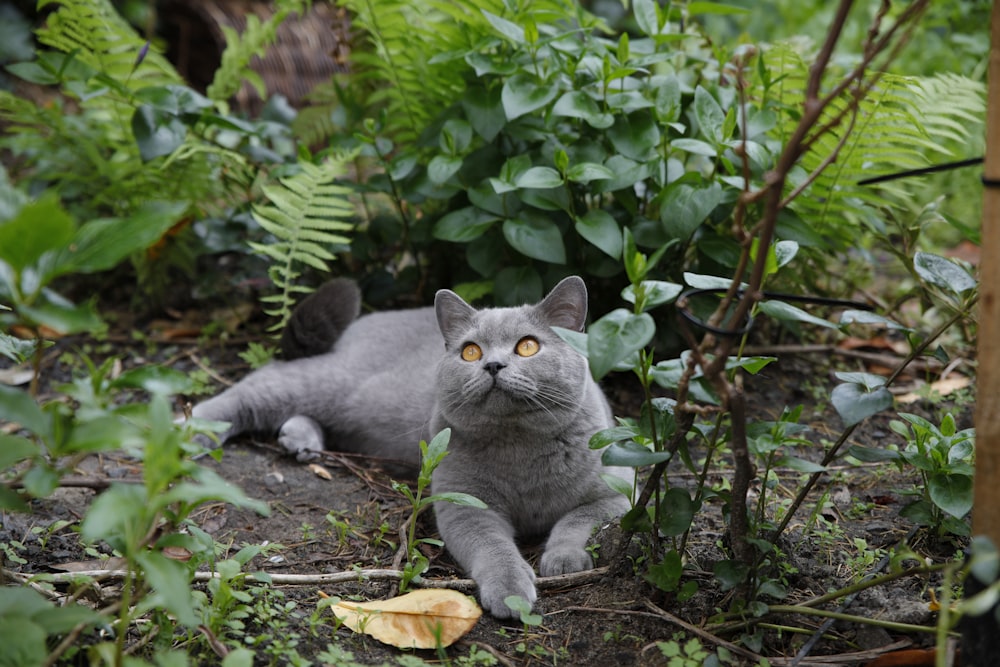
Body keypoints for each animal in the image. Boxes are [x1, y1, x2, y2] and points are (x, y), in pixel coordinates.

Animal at [191, 276, 628, 616]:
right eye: (471, 351)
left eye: (527, 346)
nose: (492, 365)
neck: (519, 447)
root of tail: (366, 320)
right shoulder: (463, 503)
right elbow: (493, 546)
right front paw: (511, 593)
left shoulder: (620, 489)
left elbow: (581, 519)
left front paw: (564, 559)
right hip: (327, 382)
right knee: (257, 384)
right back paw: (190, 432)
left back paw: (300, 440)